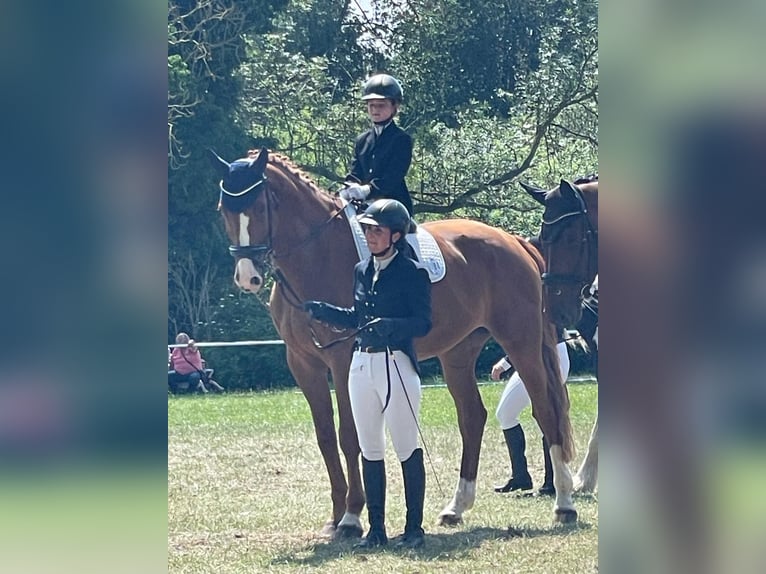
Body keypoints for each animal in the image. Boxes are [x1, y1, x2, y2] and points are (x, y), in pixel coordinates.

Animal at [209, 147, 578, 535]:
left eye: (260, 207)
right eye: (223, 209)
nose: (247, 277)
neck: (316, 258)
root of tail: (512, 241)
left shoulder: (343, 360)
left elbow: (349, 435)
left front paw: (351, 517)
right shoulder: (303, 364)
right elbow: (325, 438)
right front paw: (334, 517)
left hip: (520, 341)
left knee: (545, 410)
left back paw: (564, 505)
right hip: (458, 352)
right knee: (472, 417)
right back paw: (456, 508)